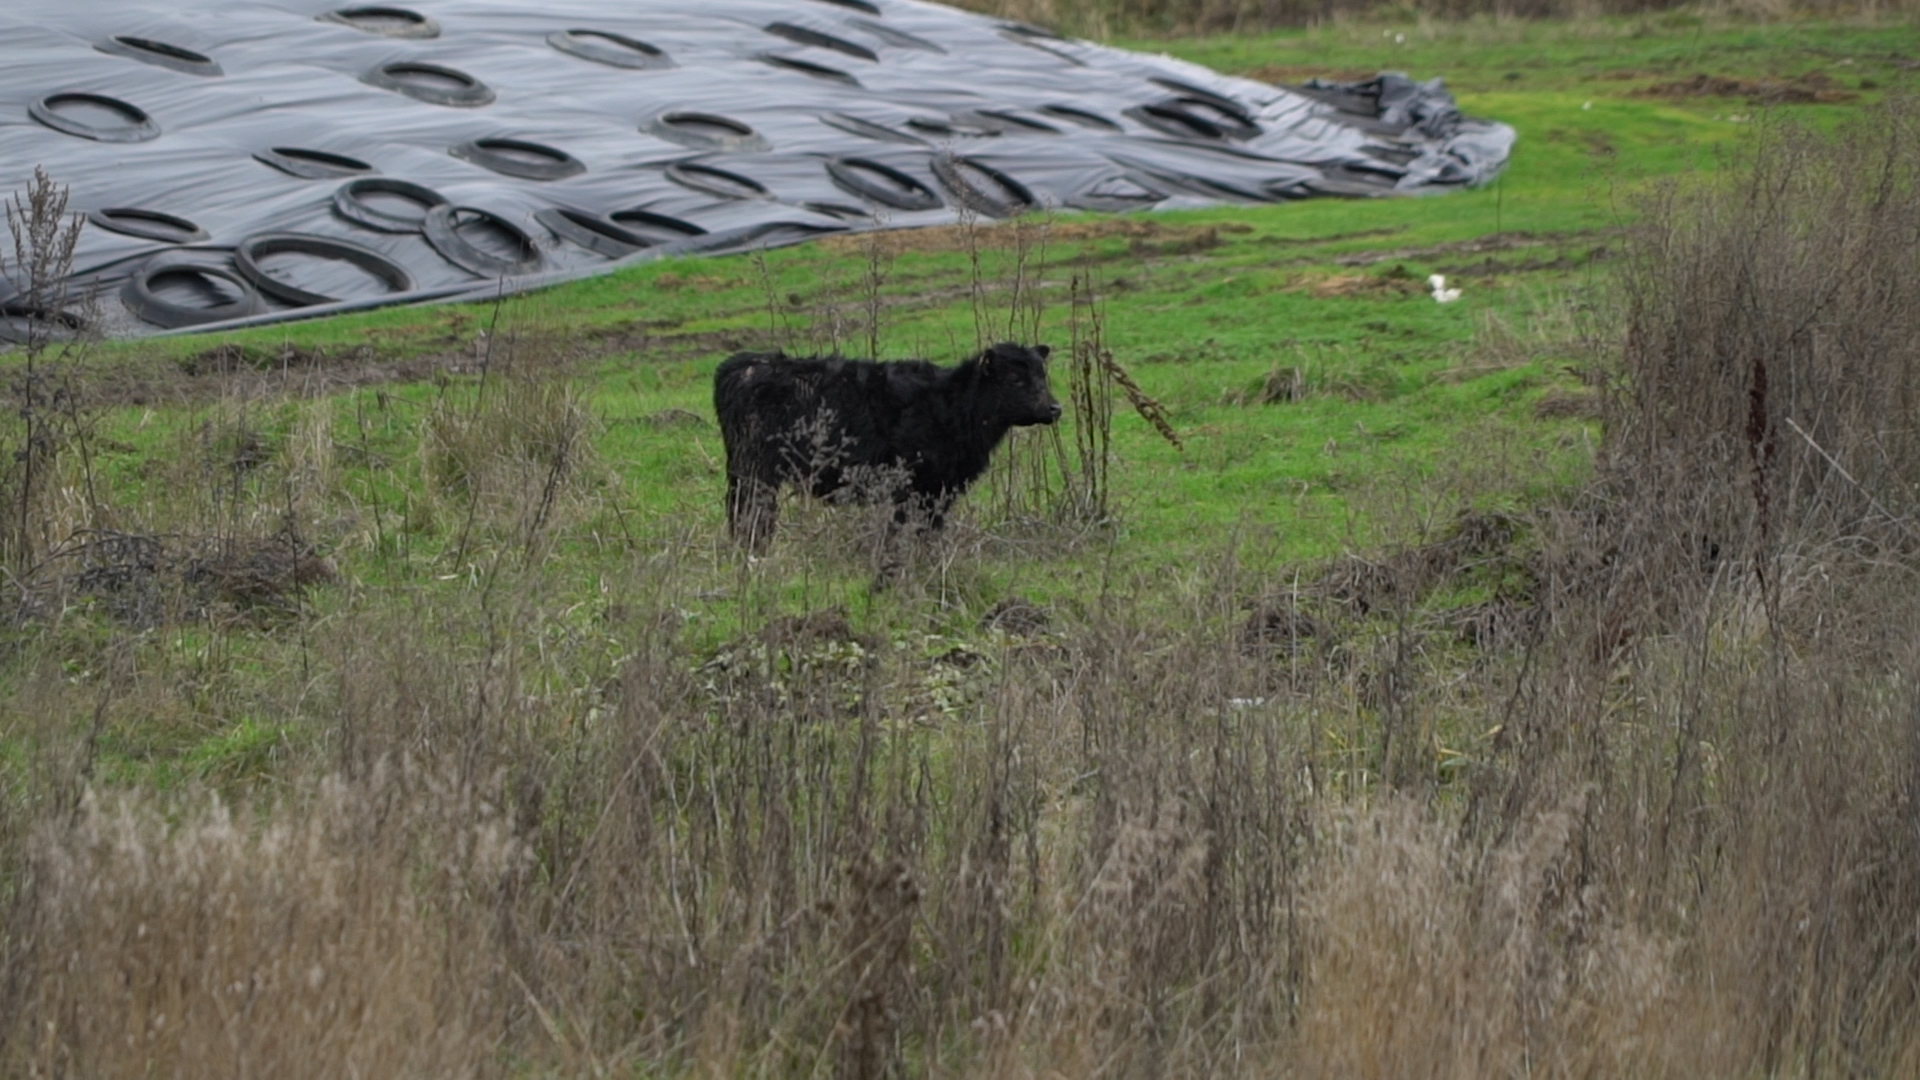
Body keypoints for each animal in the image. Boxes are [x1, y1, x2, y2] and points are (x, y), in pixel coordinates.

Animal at [718, 342, 1059, 549]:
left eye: (1043, 375)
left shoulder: (936, 492)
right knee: (750, 513)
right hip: (755, 471)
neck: (951, 406)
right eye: (1015, 379)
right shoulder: (911, 488)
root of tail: (745, 363)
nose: (1055, 408)